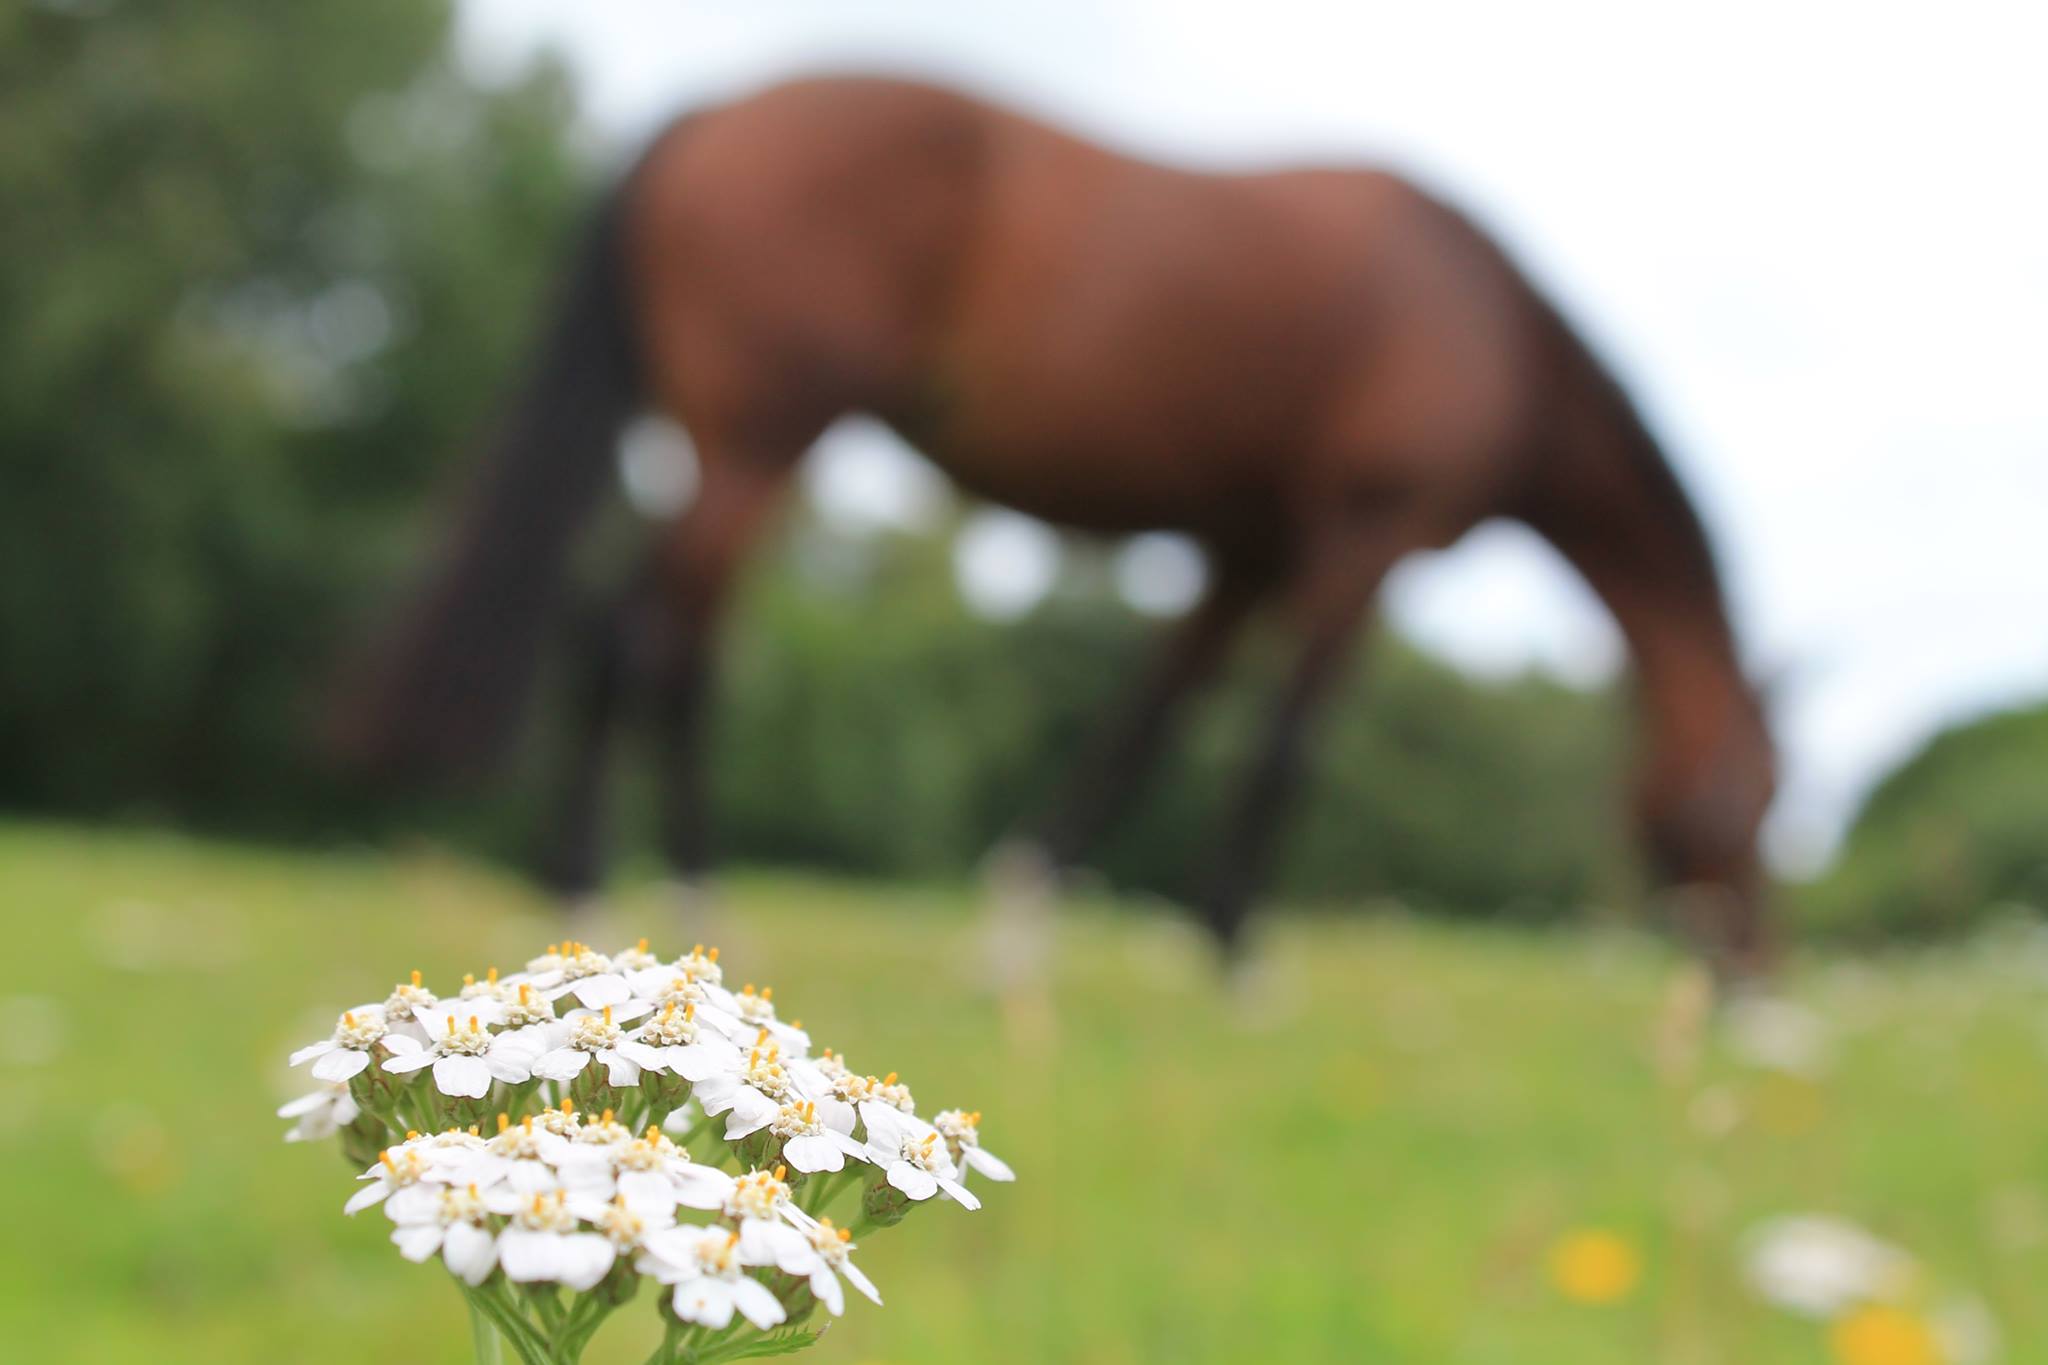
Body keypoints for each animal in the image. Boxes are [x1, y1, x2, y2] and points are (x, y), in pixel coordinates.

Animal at [331, 74, 1777, 978]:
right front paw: (1238, 960)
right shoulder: (1360, 539)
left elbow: (1143, 728)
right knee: (649, 643)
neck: (1499, 334)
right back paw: (649, 890)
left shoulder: (1243, 548)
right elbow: (1283, 751)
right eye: (1754, 797)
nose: (1752, 976)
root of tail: (710, 115)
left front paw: (1015, 931)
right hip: (763, 439)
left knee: (653, 635)